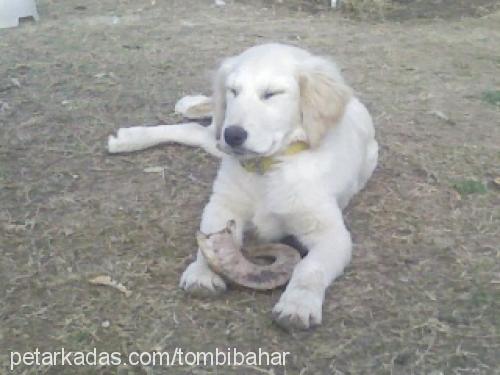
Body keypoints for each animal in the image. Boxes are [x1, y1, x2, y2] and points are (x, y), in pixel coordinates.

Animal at [107, 43, 376, 328]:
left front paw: (298, 304)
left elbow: (310, 268)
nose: (233, 135)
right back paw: (129, 137)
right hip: (216, 137)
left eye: (271, 94)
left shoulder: (331, 234)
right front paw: (202, 272)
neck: (266, 169)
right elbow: (210, 242)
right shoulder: (223, 206)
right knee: (197, 129)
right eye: (233, 91)